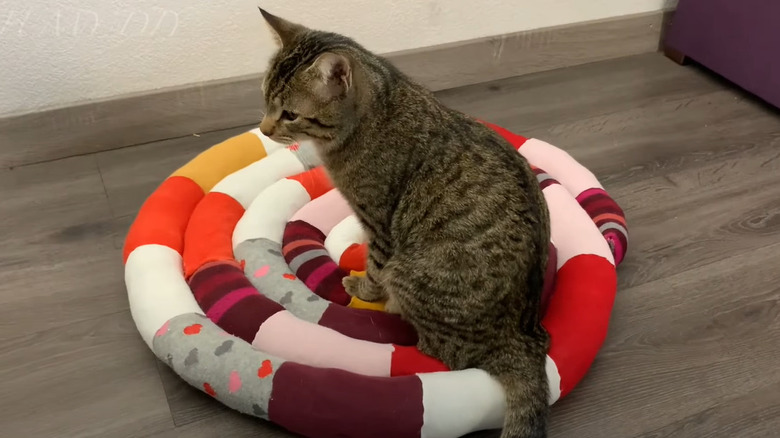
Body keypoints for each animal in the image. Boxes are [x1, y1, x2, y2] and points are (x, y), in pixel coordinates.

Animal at [258, 7, 552, 438]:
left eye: (291, 114)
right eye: (264, 99)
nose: (264, 129)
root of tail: (522, 340)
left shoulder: (378, 222)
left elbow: (374, 268)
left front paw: (363, 287)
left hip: (410, 275)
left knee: (438, 348)